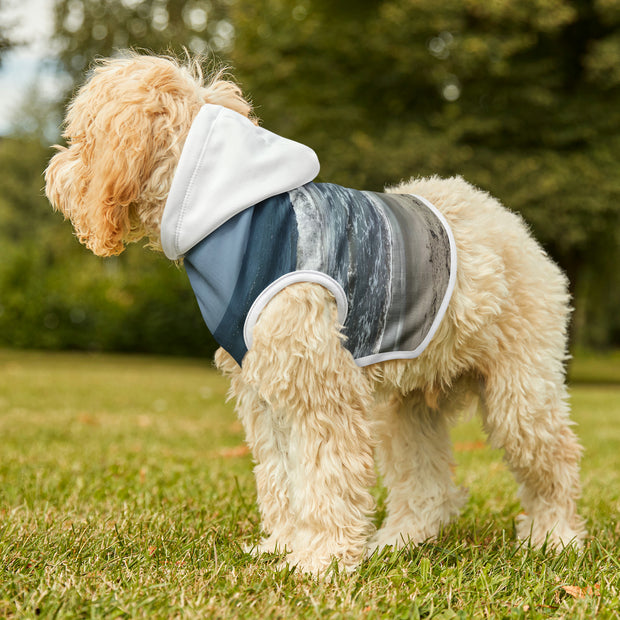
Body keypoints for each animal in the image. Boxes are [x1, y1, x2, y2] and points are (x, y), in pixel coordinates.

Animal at [46, 53, 584, 576]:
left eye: (81, 138)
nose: (53, 173)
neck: (234, 215)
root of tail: (510, 223)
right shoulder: (266, 391)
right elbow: (282, 476)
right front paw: (284, 547)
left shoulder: (320, 388)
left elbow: (326, 477)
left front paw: (320, 560)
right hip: (408, 406)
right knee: (427, 485)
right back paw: (400, 541)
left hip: (521, 392)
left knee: (555, 461)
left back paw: (555, 537)